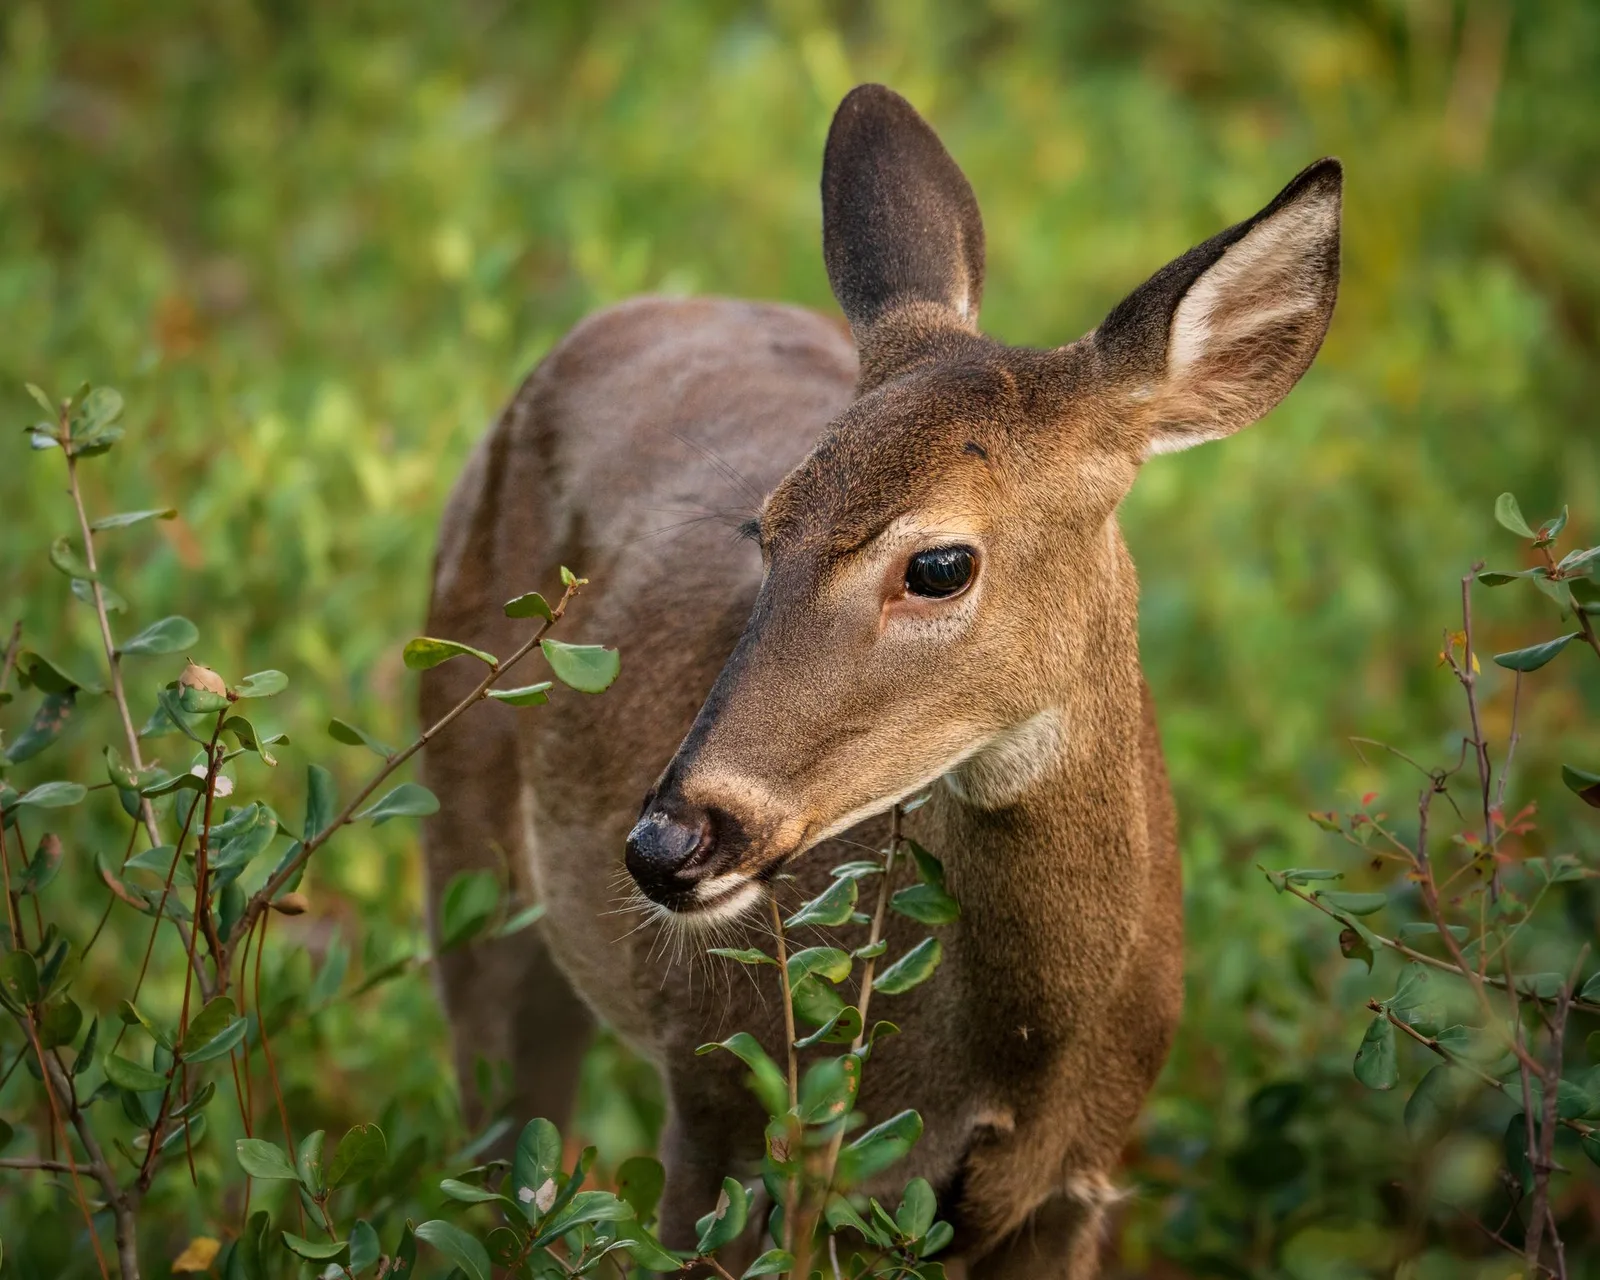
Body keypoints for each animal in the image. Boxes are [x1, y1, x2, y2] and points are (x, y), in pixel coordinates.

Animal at [420, 84, 1340, 1278]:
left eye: (939, 562)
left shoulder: (1078, 1182)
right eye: (766, 525)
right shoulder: (717, 1096)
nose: (668, 842)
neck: (1008, 1052)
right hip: (466, 854)